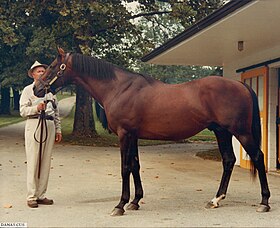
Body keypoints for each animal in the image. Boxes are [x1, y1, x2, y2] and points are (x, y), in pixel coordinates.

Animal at [33, 47, 272, 216]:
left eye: (54, 66)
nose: (36, 88)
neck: (119, 88)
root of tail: (241, 85)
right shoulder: (133, 135)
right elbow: (135, 165)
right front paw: (135, 201)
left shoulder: (125, 134)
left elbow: (125, 168)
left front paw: (120, 205)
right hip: (222, 132)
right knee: (229, 160)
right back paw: (216, 200)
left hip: (240, 132)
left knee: (258, 157)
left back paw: (264, 202)